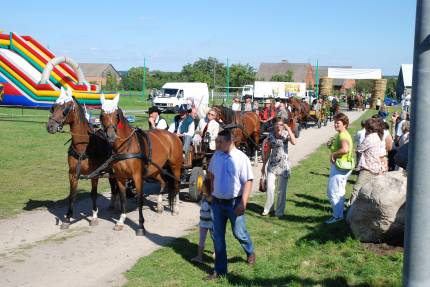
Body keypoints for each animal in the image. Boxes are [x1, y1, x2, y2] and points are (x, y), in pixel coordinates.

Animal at [45, 88, 117, 230]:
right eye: (53, 107)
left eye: (66, 108)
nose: (50, 126)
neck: (83, 147)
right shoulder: (72, 174)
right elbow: (72, 196)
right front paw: (67, 218)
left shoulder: (94, 175)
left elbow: (93, 194)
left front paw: (94, 217)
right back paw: (112, 205)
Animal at [100, 95, 182, 235]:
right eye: (102, 114)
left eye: (116, 115)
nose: (111, 136)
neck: (125, 147)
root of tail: (172, 135)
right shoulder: (120, 177)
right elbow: (123, 198)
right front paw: (121, 221)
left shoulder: (137, 177)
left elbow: (139, 199)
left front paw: (141, 225)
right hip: (155, 170)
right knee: (163, 182)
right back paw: (160, 205)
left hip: (175, 166)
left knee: (176, 185)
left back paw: (176, 209)